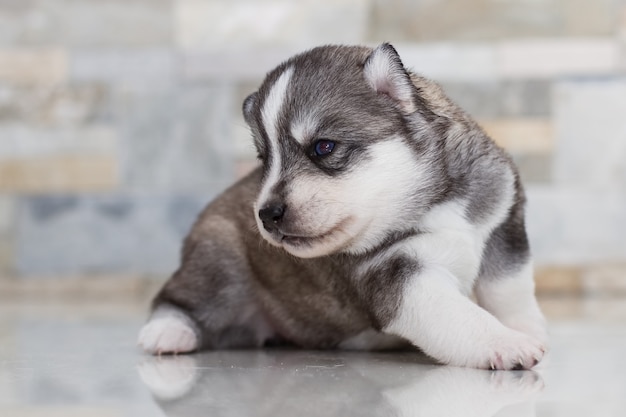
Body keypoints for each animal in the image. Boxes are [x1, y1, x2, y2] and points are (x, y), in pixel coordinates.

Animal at [138, 43, 544, 368]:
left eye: (323, 147)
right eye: (264, 159)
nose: (267, 214)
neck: (435, 204)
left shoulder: (504, 227)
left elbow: (510, 291)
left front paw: (527, 328)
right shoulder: (399, 275)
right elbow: (459, 316)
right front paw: (505, 342)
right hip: (219, 262)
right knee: (178, 300)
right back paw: (166, 333)